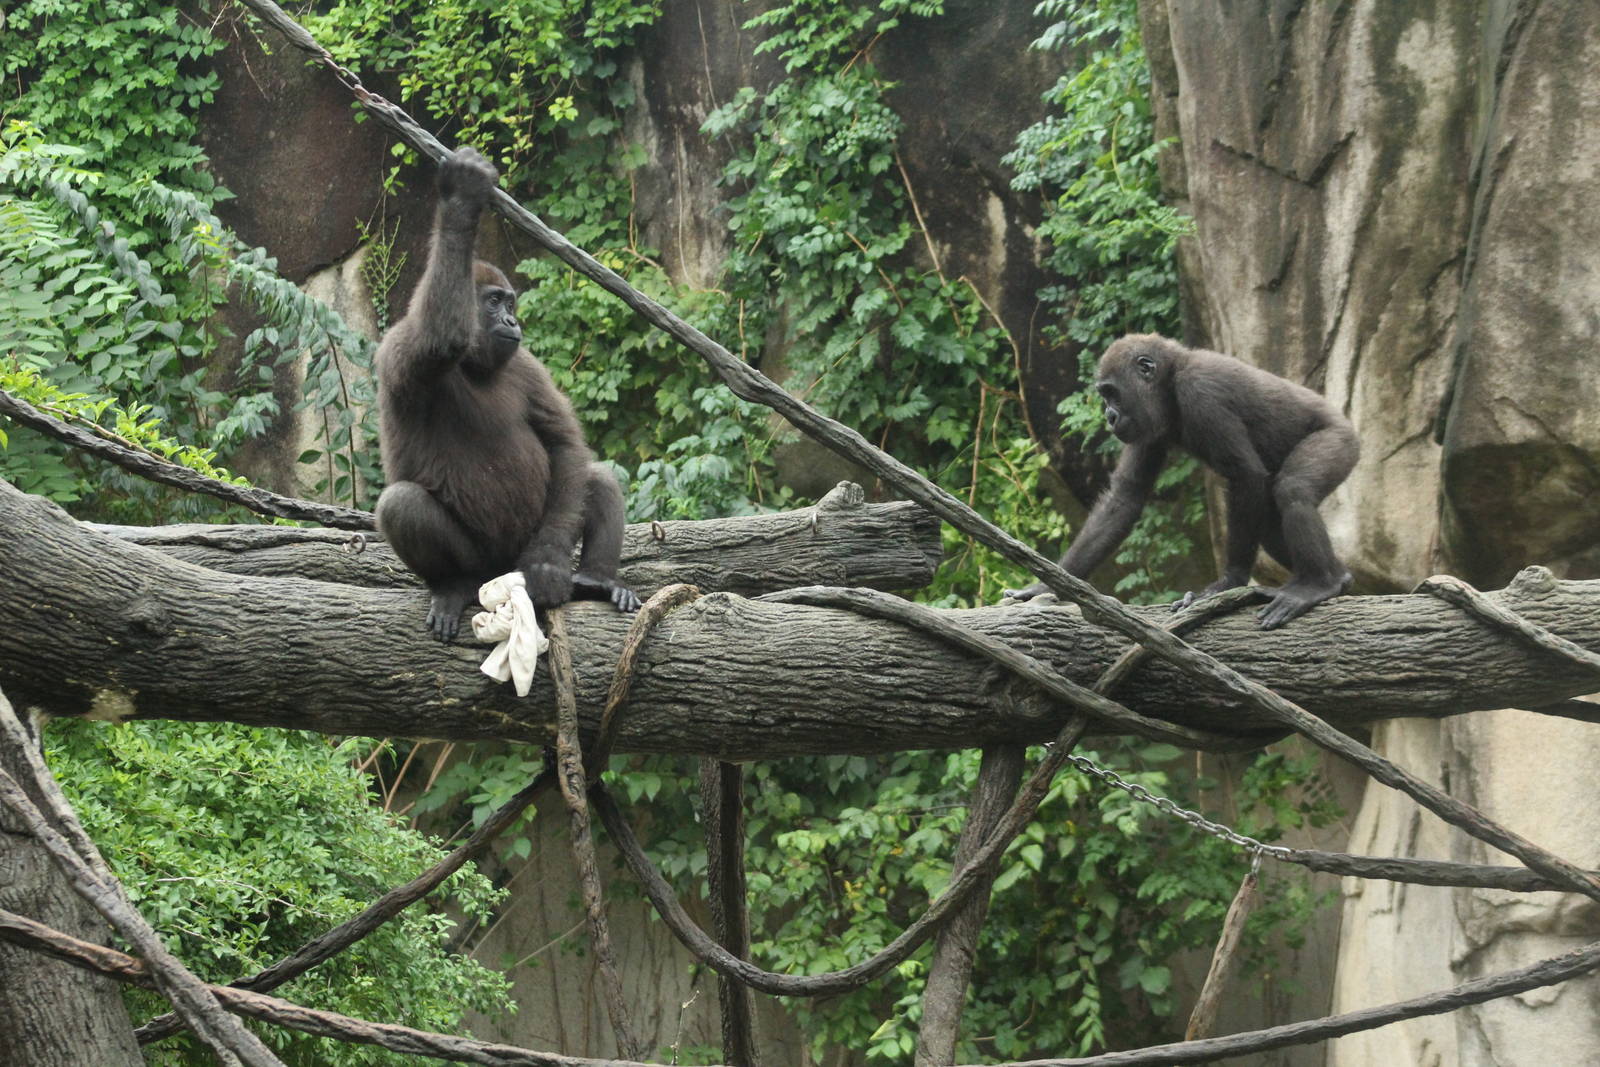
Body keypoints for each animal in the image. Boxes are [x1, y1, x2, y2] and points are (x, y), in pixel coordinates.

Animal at [373, 146, 641, 642]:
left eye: (510, 303)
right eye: (494, 302)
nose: (513, 321)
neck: (474, 363)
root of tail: (498, 571)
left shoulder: (527, 366)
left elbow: (563, 444)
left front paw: (548, 565)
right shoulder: (403, 347)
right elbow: (441, 336)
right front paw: (461, 203)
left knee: (594, 478)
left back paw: (597, 579)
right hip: (487, 567)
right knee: (402, 504)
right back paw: (452, 584)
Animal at [1004, 334, 1359, 629]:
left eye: (1111, 393)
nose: (1110, 417)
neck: (1172, 376)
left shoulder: (1200, 391)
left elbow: (1245, 474)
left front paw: (1230, 581)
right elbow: (1125, 496)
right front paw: (1045, 584)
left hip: (1340, 440)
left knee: (1293, 490)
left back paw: (1317, 584)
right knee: (1271, 523)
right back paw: (1338, 577)